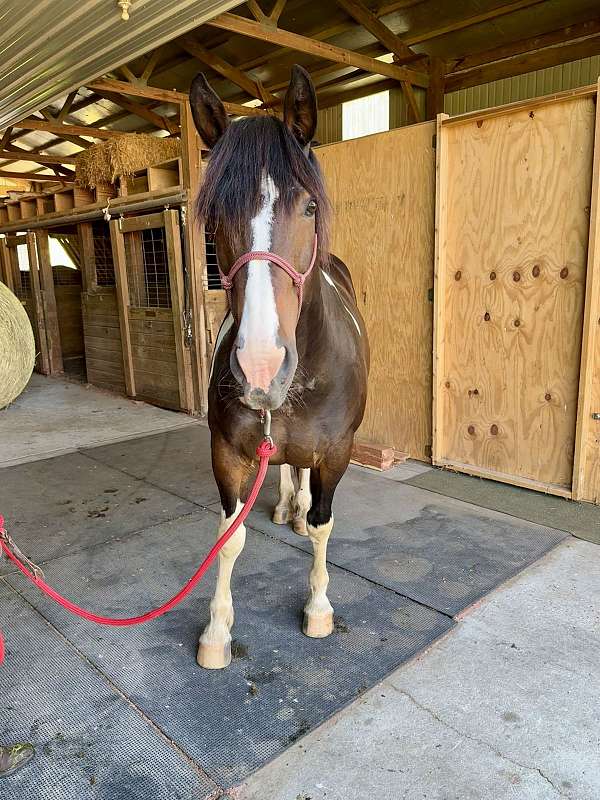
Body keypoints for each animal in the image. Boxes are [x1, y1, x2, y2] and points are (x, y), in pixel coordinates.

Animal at [191, 65, 370, 672]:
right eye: (214, 216)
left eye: (309, 207)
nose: (262, 365)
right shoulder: (226, 453)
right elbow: (228, 538)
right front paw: (217, 631)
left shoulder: (336, 453)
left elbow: (323, 525)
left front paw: (318, 608)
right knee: (290, 468)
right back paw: (287, 504)